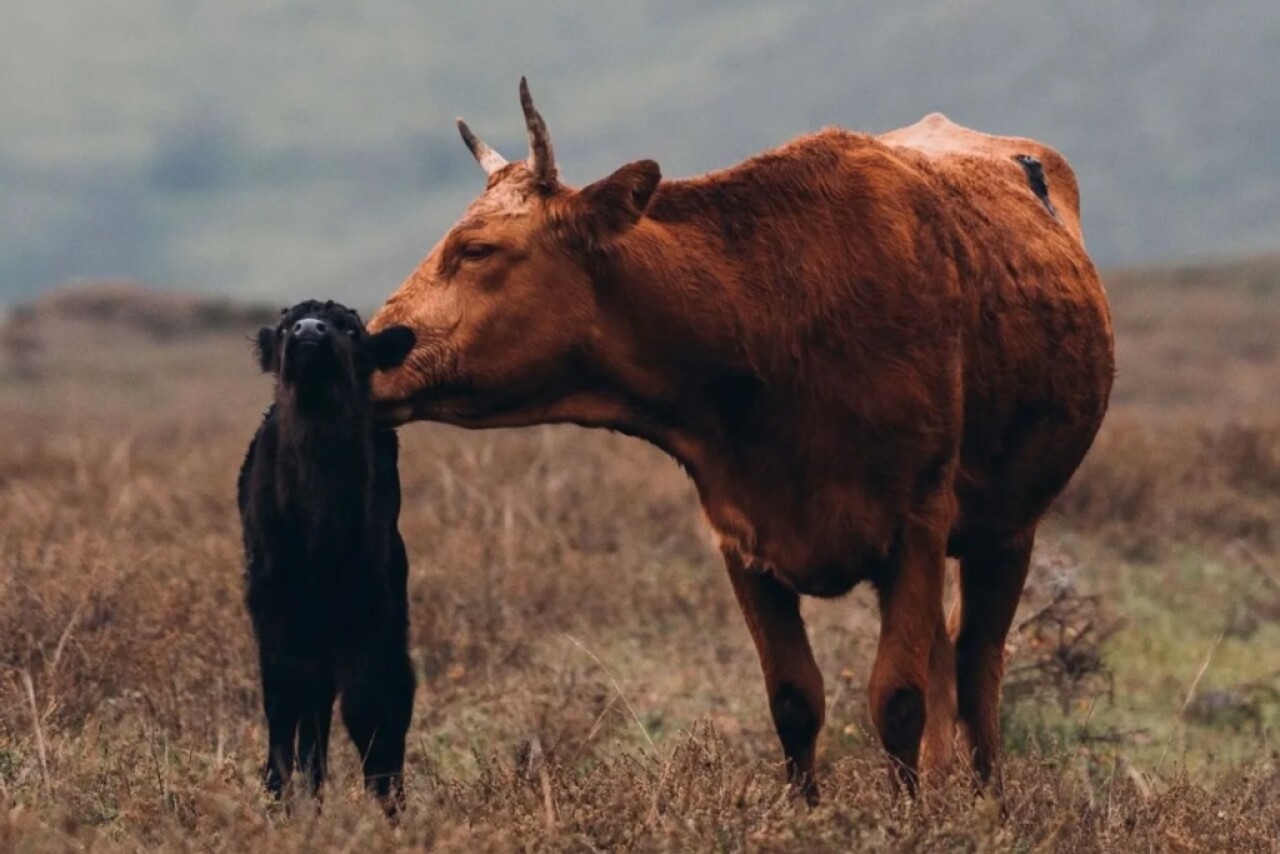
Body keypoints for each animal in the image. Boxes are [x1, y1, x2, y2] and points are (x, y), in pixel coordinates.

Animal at [238, 302, 417, 814]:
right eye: (284, 328)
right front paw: (278, 799)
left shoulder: (369, 608)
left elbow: (369, 704)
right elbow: (283, 703)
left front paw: (385, 802)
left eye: (351, 330)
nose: (309, 330)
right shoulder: (272, 606)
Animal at [368, 80, 1111, 804]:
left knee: (977, 668)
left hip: (1008, 531)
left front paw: (913, 821)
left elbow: (897, 700)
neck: (770, 312)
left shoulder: (917, 525)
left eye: (477, 249)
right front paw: (807, 816)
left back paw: (985, 802)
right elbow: (795, 699)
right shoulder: (744, 538)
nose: (370, 346)